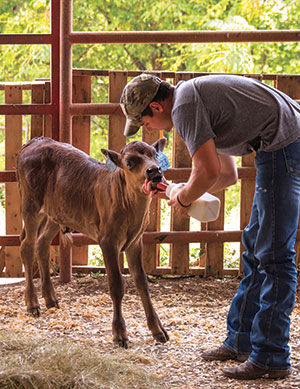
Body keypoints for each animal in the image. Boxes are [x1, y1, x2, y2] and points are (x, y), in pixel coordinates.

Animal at [17, 136, 169, 346]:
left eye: (154, 155)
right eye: (129, 162)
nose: (154, 171)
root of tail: (34, 141)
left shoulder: (135, 241)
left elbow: (142, 282)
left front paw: (158, 330)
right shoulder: (108, 241)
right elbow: (116, 285)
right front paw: (120, 334)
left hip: (56, 213)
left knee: (42, 244)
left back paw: (50, 300)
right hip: (30, 206)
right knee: (27, 246)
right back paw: (32, 304)